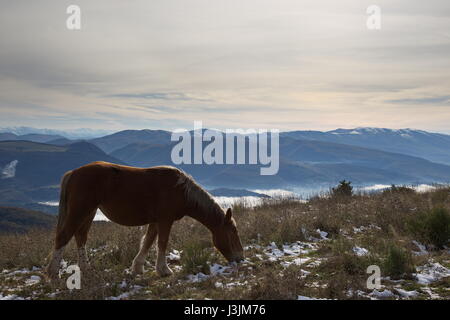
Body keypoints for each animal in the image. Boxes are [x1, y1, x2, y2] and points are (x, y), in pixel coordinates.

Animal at [44, 161, 246, 278]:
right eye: (233, 232)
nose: (240, 259)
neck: (181, 191)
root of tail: (73, 173)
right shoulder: (165, 220)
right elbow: (162, 243)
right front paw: (164, 270)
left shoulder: (155, 221)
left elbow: (148, 242)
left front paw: (137, 268)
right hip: (80, 211)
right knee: (64, 237)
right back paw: (53, 273)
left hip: (89, 212)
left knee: (80, 237)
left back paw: (86, 269)